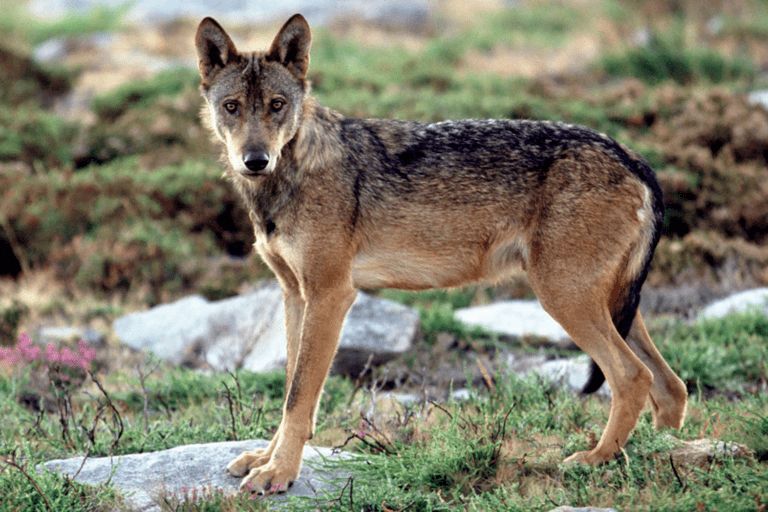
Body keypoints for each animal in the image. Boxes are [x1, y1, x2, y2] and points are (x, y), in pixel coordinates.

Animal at [194, 14, 688, 494]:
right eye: (232, 106)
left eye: (277, 104)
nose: (255, 160)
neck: (286, 178)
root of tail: (631, 156)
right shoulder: (296, 295)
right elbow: (289, 392)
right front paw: (265, 459)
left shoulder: (331, 295)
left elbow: (299, 397)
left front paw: (279, 473)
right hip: (608, 303)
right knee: (672, 386)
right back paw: (664, 454)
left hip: (564, 298)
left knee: (634, 377)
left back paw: (596, 459)